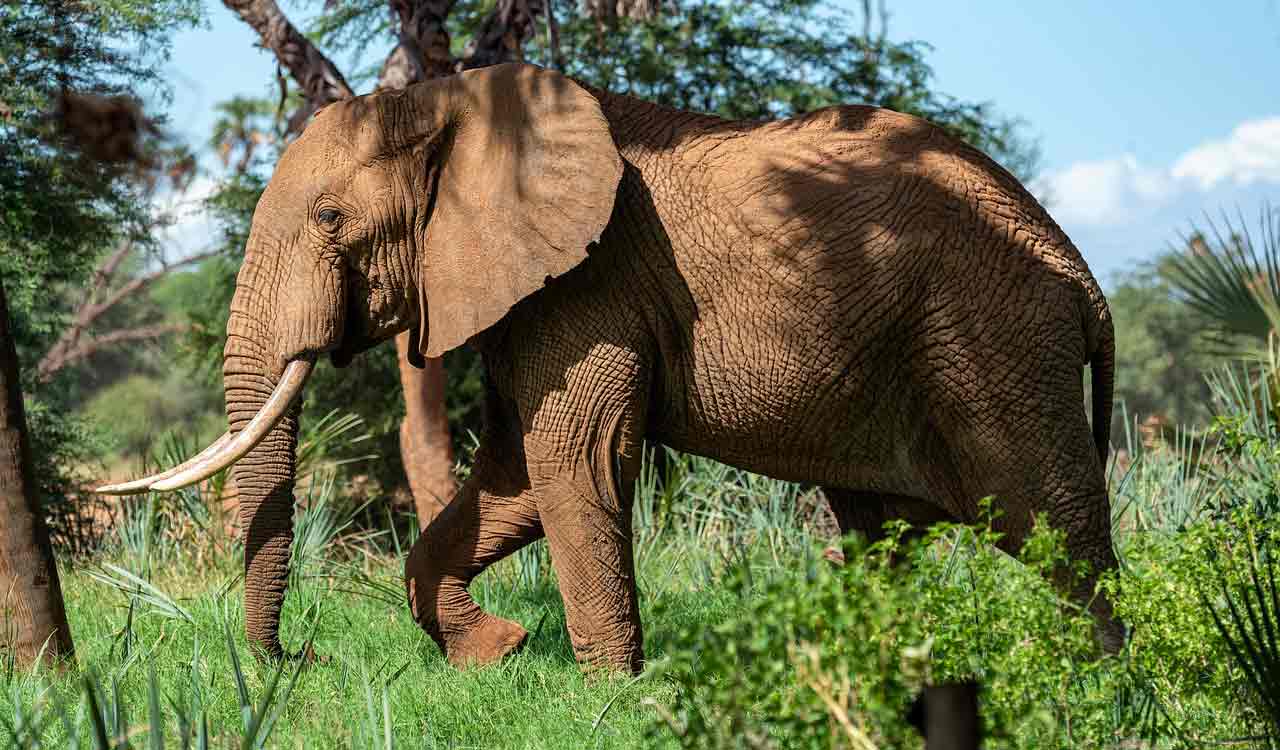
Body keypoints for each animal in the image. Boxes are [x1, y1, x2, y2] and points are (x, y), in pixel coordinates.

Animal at [102, 61, 1120, 673]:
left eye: (328, 220)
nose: (301, 660)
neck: (453, 99)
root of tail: (1081, 272)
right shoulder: (530, 291)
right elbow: (514, 476)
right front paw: (498, 652)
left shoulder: (592, 282)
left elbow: (572, 461)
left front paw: (612, 696)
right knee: (886, 533)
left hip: (994, 338)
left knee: (1055, 525)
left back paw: (1103, 689)